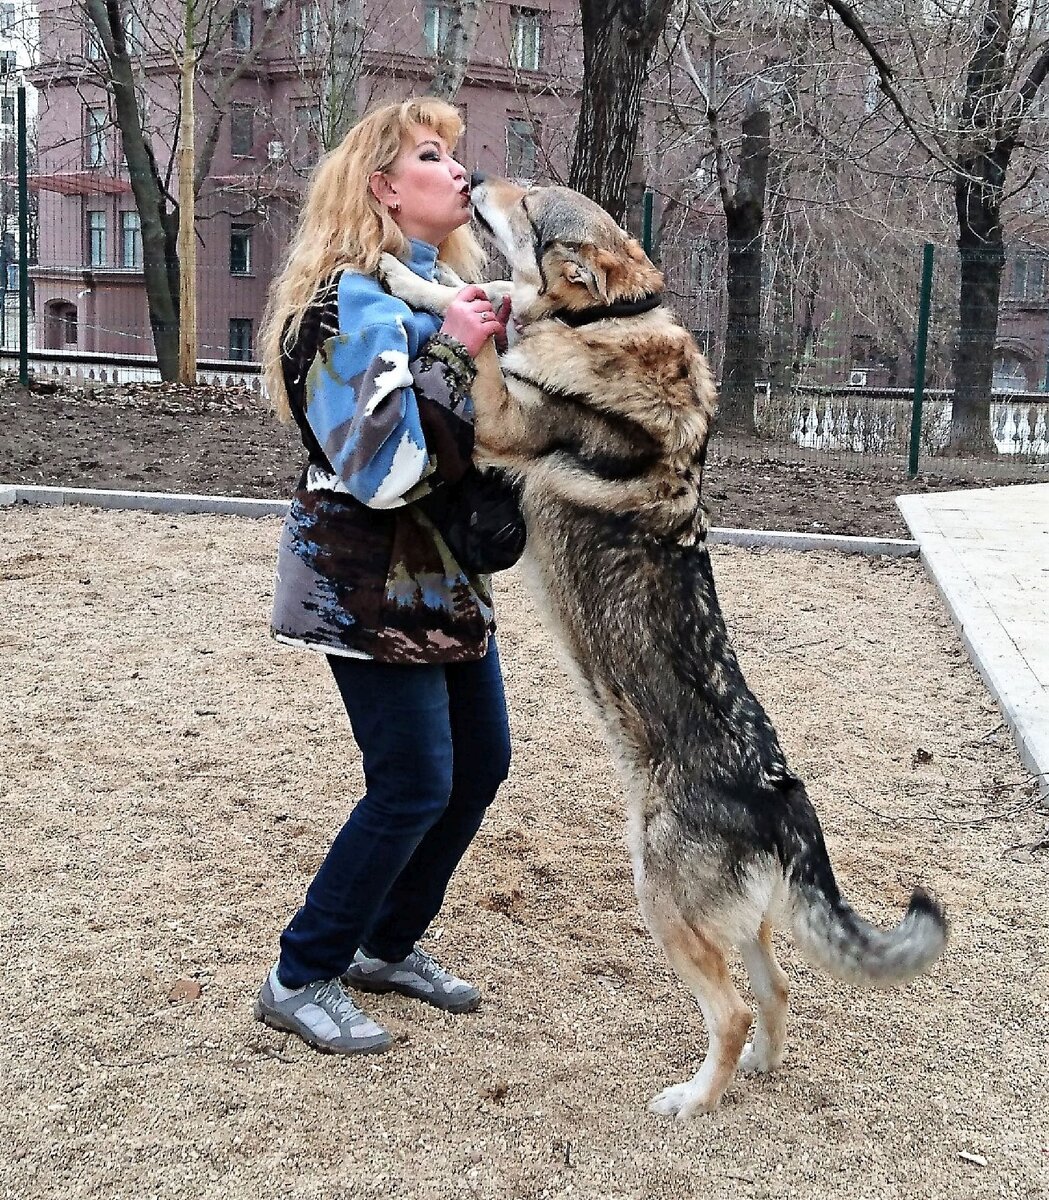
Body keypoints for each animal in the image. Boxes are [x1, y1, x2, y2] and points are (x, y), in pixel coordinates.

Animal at [379, 175, 950, 1113]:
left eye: (528, 205)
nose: (470, 181)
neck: (606, 322)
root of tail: (783, 799)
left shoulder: (502, 419)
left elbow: (488, 335)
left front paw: (426, 295)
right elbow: (480, 296)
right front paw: (408, 271)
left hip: (658, 898)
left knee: (733, 1011)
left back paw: (691, 1100)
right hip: (728, 920)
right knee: (775, 992)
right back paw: (754, 1073)